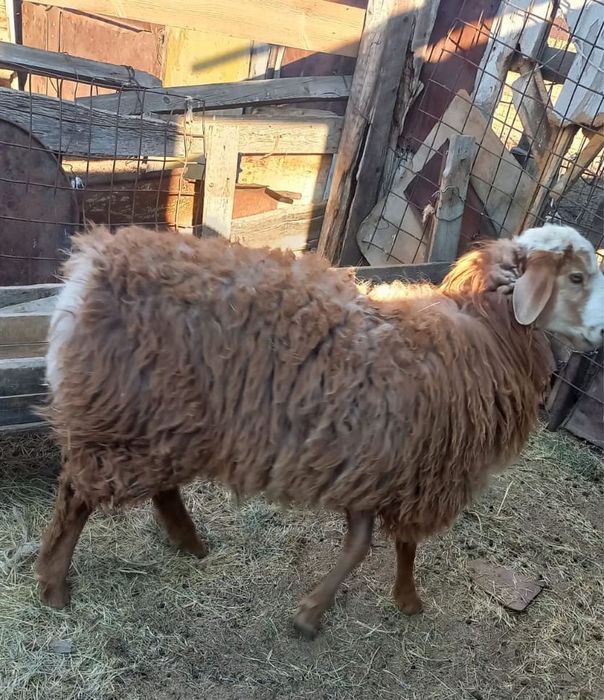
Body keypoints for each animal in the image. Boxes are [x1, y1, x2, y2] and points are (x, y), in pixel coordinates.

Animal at [37, 224, 604, 637]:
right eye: (576, 278)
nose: (601, 332)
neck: (484, 325)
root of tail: (89, 266)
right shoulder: (416, 472)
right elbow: (399, 545)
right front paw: (402, 600)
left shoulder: (374, 462)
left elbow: (363, 543)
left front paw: (319, 609)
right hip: (122, 416)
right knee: (77, 494)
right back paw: (53, 587)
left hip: (164, 421)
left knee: (158, 487)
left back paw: (189, 543)